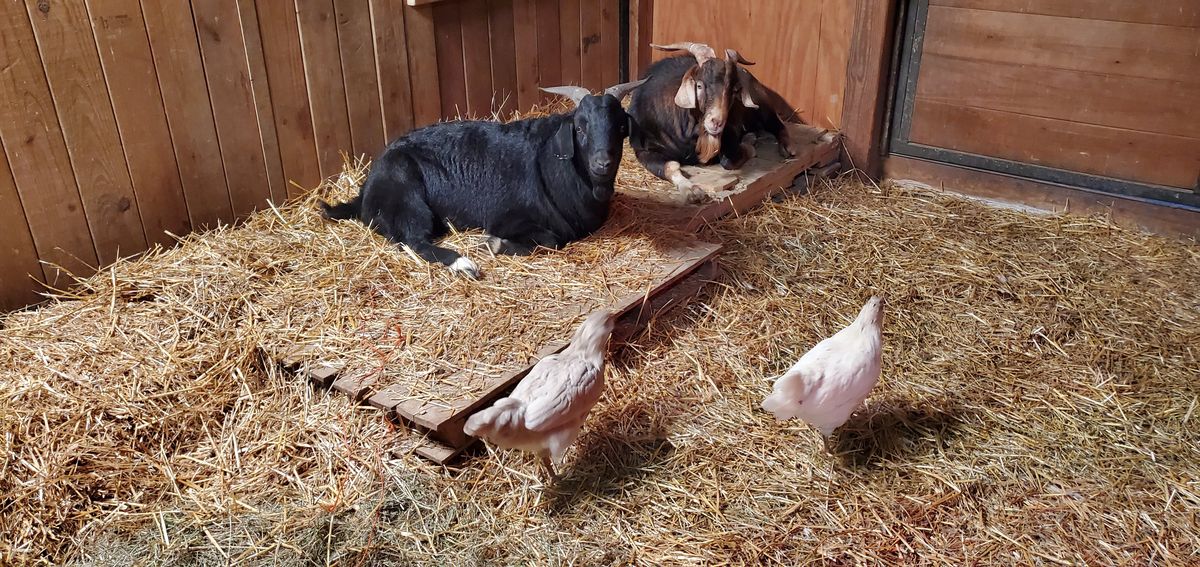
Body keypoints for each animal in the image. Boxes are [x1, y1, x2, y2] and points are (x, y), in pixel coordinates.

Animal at [318, 79, 646, 279]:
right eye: (579, 128)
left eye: (620, 127)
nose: (602, 163)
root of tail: (365, 191)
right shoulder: (507, 217)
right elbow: (551, 240)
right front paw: (494, 244)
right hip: (406, 199)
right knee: (412, 240)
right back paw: (463, 263)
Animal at [628, 42, 797, 203]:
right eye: (699, 85)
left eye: (734, 91)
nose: (716, 122)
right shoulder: (644, 150)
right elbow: (670, 166)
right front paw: (692, 191)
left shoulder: (731, 130)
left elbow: (728, 160)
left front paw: (750, 142)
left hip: (762, 105)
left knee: (776, 123)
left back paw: (787, 148)